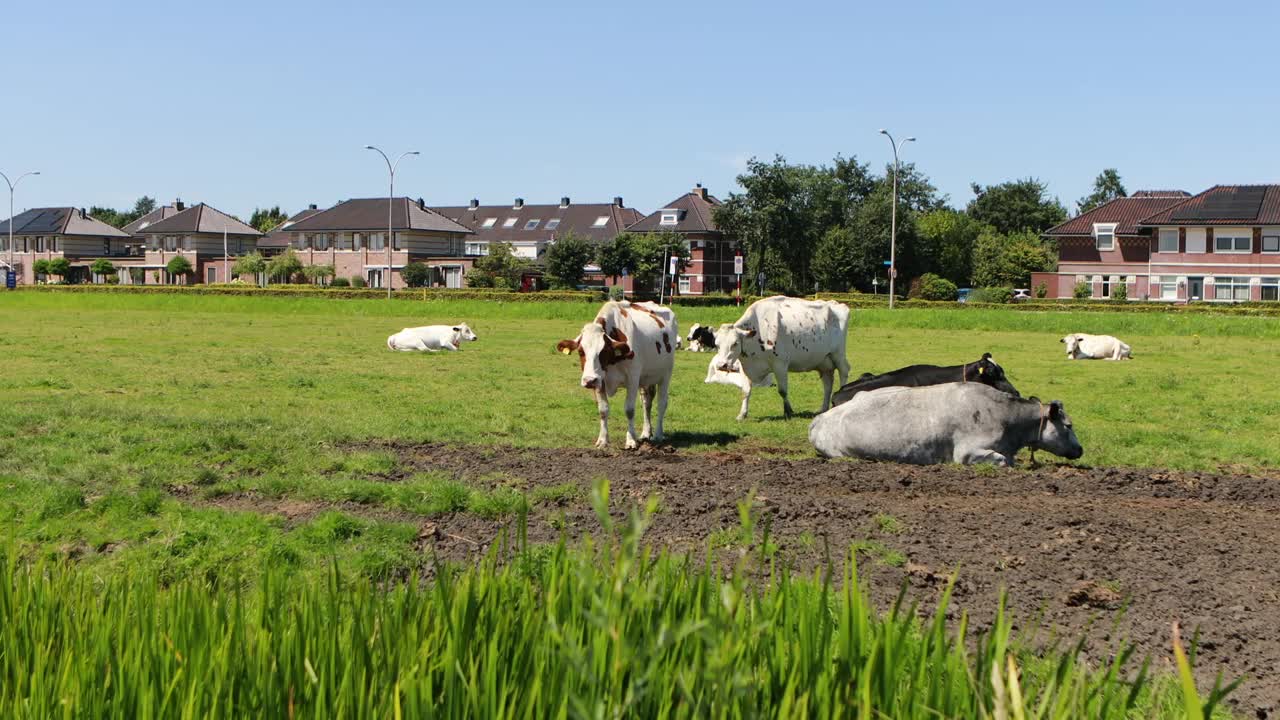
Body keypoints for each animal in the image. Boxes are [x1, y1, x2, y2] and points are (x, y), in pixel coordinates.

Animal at [558, 299, 680, 445]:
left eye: (603, 351)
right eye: (581, 351)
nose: (589, 380)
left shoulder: (633, 379)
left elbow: (629, 410)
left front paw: (631, 440)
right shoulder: (600, 380)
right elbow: (603, 409)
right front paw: (603, 440)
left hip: (666, 375)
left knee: (661, 403)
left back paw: (658, 434)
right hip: (646, 378)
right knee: (647, 402)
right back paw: (646, 433)